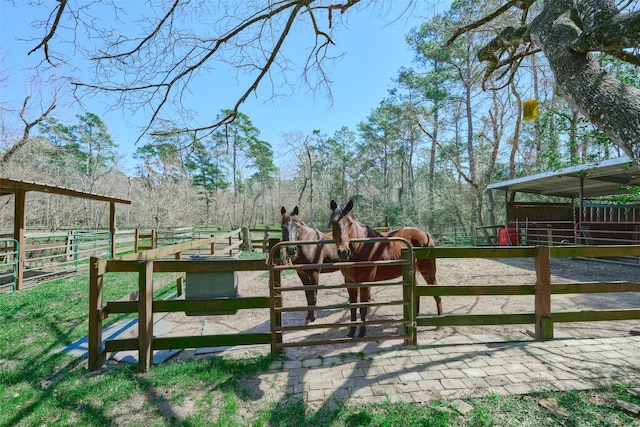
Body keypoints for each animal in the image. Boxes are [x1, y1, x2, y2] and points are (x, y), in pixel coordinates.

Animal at [330, 200, 440, 338]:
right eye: (333, 222)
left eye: (350, 223)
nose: (343, 252)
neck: (361, 246)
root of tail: (425, 234)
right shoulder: (349, 282)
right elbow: (353, 306)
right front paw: (351, 331)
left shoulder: (365, 282)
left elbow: (363, 307)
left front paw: (362, 332)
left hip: (429, 272)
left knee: (436, 292)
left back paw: (440, 321)